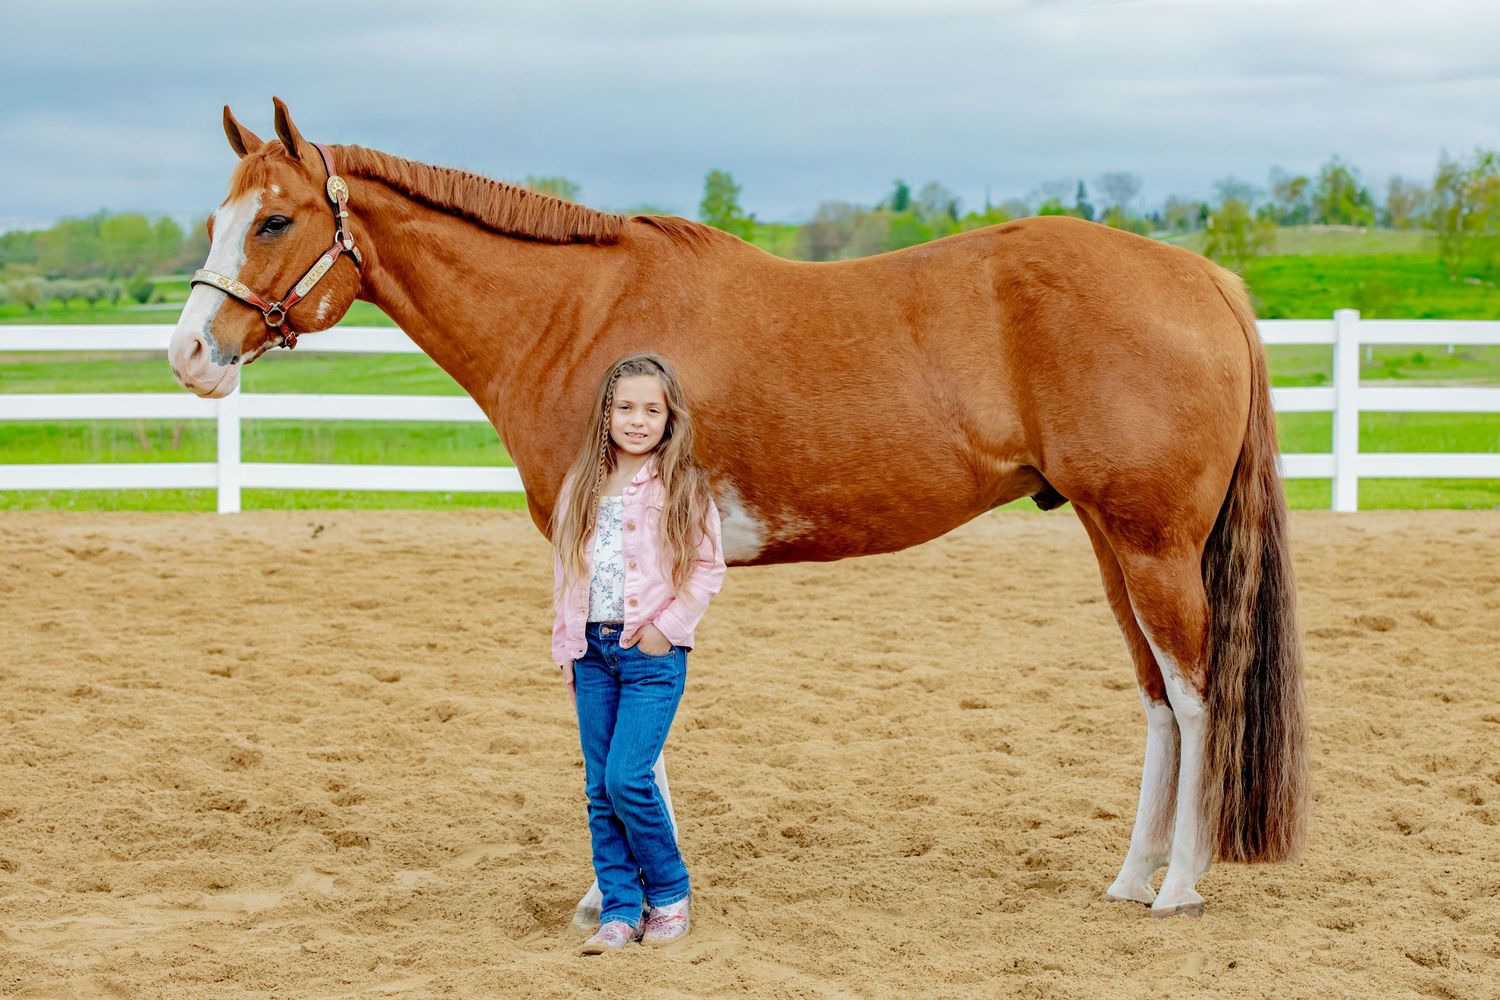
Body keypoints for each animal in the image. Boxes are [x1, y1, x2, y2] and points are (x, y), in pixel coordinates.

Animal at [167, 99, 1307, 919]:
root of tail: (1207, 277)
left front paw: (618, 895)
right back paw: (1131, 876)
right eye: (217, 218)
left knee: (1197, 694)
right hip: (1111, 542)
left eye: (275, 219)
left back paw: (1177, 888)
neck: (578, 317)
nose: (189, 355)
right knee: (1157, 697)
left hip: (1153, 544)